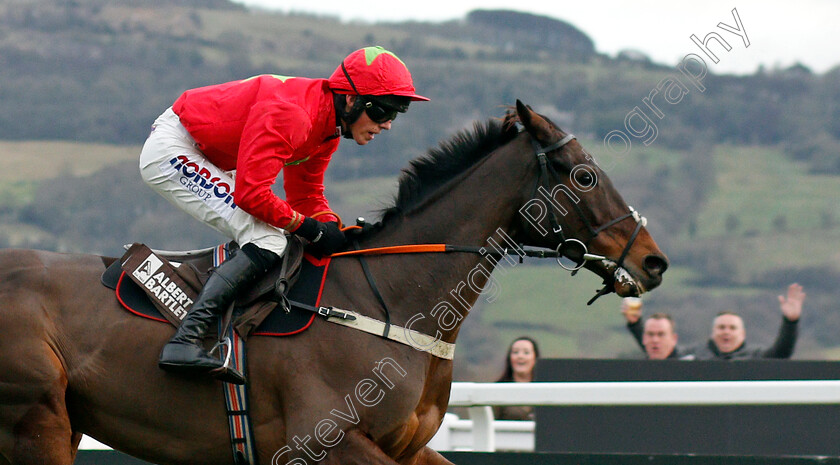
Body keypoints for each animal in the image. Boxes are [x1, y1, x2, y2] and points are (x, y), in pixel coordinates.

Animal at [0, 101, 668, 464]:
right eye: (584, 176)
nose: (655, 261)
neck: (391, 302)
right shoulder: (323, 442)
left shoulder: (405, 447)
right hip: (36, 419)